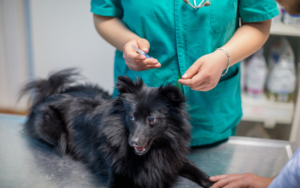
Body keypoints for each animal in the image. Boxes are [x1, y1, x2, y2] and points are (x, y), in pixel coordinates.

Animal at [21, 68, 213, 188]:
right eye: (131, 117)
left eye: (151, 119)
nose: (133, 142)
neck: (152, 153)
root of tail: (52, 94)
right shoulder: (118, 176)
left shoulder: (174, 159)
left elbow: (197, 171)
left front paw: (213, 181)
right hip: (52, 128)